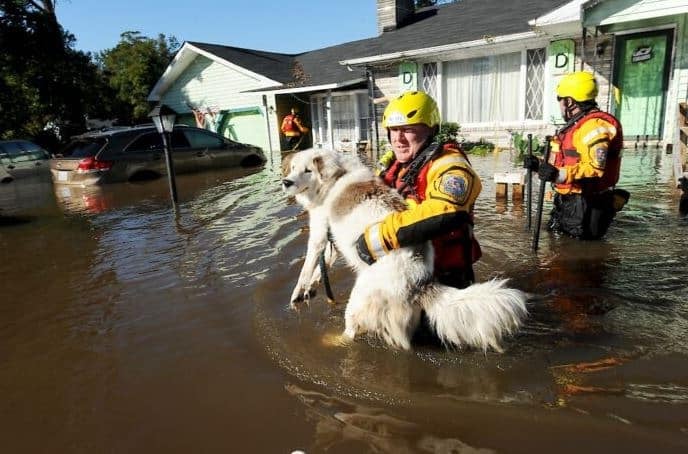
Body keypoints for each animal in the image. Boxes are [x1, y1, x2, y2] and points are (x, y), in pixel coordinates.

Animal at [282, 149, 528, 352]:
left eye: (307, 170)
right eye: (293, 168)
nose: (286, 182)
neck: (336, 176)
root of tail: (421, 281)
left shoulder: (318, 232)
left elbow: (306, 267)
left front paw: (297, 294)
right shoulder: (329, 237)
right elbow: (324, 263)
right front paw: (312, 287)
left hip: (357, 301)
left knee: (351, 333)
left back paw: (331, 341)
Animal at [358, 90, 482, 290]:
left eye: (408, 130)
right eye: (395, 130)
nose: (398, 141)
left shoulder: (451, 161)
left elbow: (444, 206)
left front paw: (367, 242)